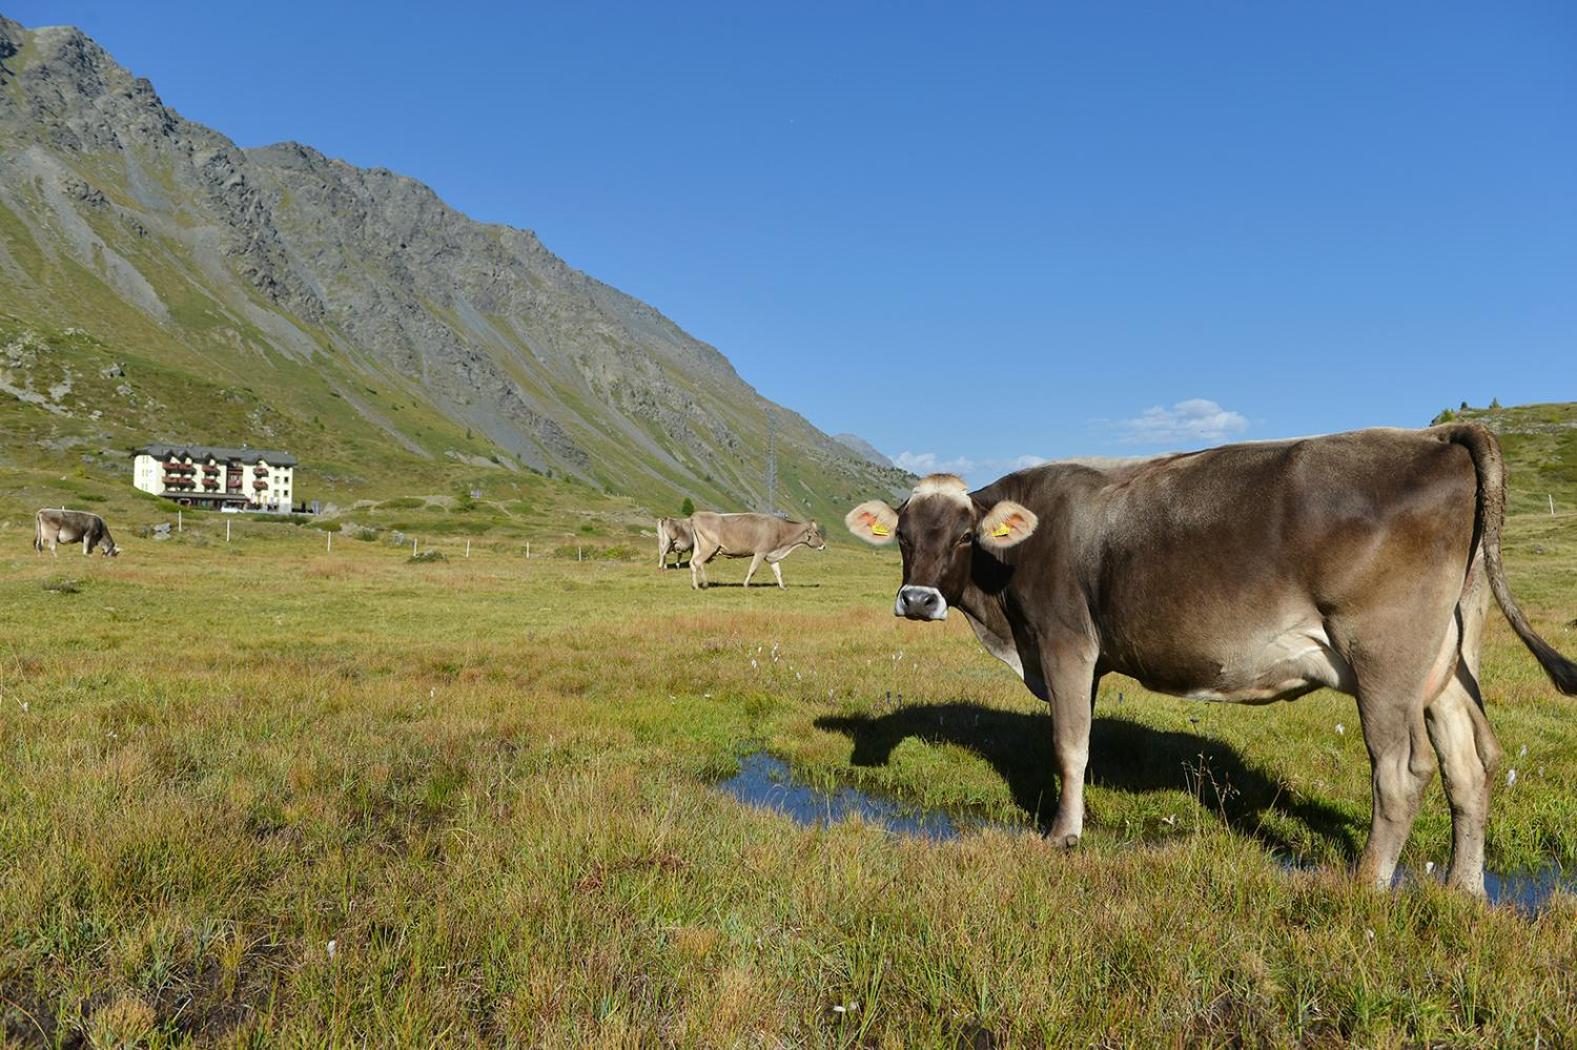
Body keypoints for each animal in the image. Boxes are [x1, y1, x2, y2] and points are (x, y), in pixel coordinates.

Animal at [690, 513, 826, 589]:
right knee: (698, 562)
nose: (824, 546)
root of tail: (696, 516)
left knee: (692, 563)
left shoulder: (772, 556)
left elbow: (778, 572)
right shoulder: (761, 552)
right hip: (709, 547)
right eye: (816, 533)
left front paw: (783, 587)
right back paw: (704, 584)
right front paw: (745, 585)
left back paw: (695, 585)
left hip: (699, 547)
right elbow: (752, 569)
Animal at [851, 422, 1577, 895]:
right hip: (1446, 661)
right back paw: (1463, 890)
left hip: (1383, 656)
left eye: (965, 535)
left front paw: (1063, 837)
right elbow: (1079, 741)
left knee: (1401, 771)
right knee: (1468, 764)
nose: (917, 599)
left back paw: (1366, 884)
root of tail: (1434, 438)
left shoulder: (1065, 641)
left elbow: (1068, 746)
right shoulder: (1085, 656)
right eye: (902, 535)